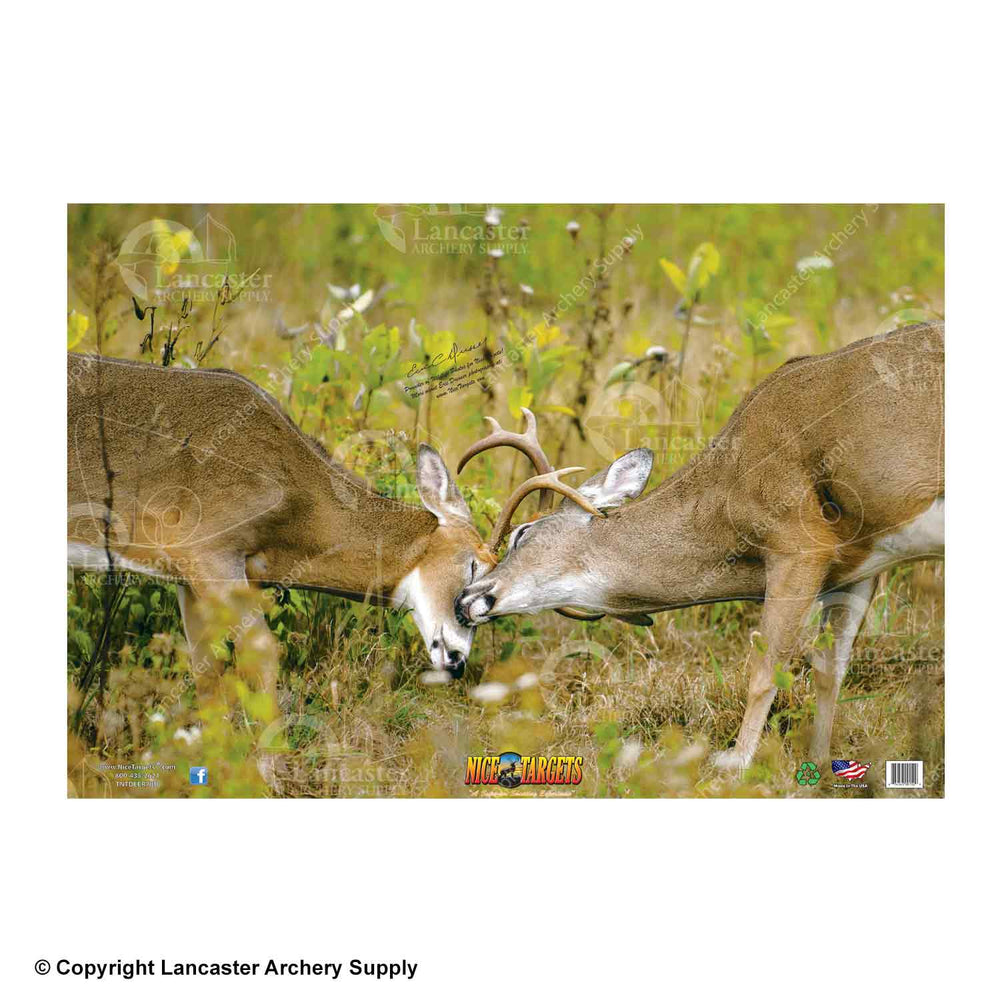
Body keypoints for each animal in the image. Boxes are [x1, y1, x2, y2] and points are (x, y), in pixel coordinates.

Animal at [67, 352, 498, 692]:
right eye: (473, 564)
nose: (457, 660)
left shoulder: (185, 575)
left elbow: (207, 670)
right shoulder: (209, 550)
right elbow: (261, 655)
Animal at [456, 321, 944, 771]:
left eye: (522, 533)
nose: (464, 599)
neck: (727, 493)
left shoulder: (799, 542)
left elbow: (766, 667)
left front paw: (735, 764)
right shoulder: (860, 563)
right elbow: (830, 669)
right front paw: (822, 766)